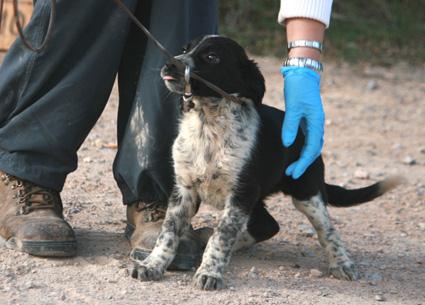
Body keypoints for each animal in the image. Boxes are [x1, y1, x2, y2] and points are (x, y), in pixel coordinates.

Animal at [131, 34, 402, 288]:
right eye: (185, 49)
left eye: (212, 57)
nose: (170, 64)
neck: (208, 123)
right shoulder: (184, 190)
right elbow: (168, 234)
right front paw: (152, 265)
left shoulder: (240, 194)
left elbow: (222, 236)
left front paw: (210, 272)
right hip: (259, 198)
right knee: (268, 225)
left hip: (306, 192)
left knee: (326, 229)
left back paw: (342, 263)